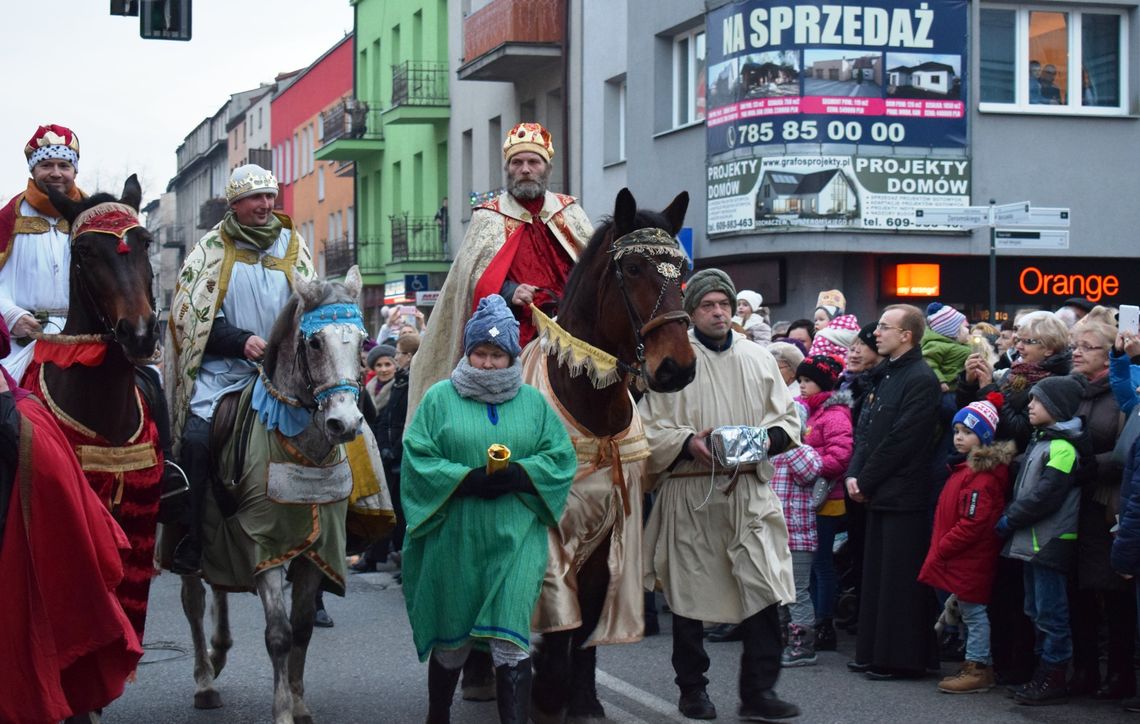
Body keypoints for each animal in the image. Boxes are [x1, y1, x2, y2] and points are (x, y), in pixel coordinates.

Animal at [526, 189, 693, 720]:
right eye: (634, 268)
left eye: (682, 268)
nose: (677, 368)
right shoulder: (553, 534)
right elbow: (558, 619)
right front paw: (547, 693)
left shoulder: (608, 535)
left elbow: (587, 623)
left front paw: (581, 700)